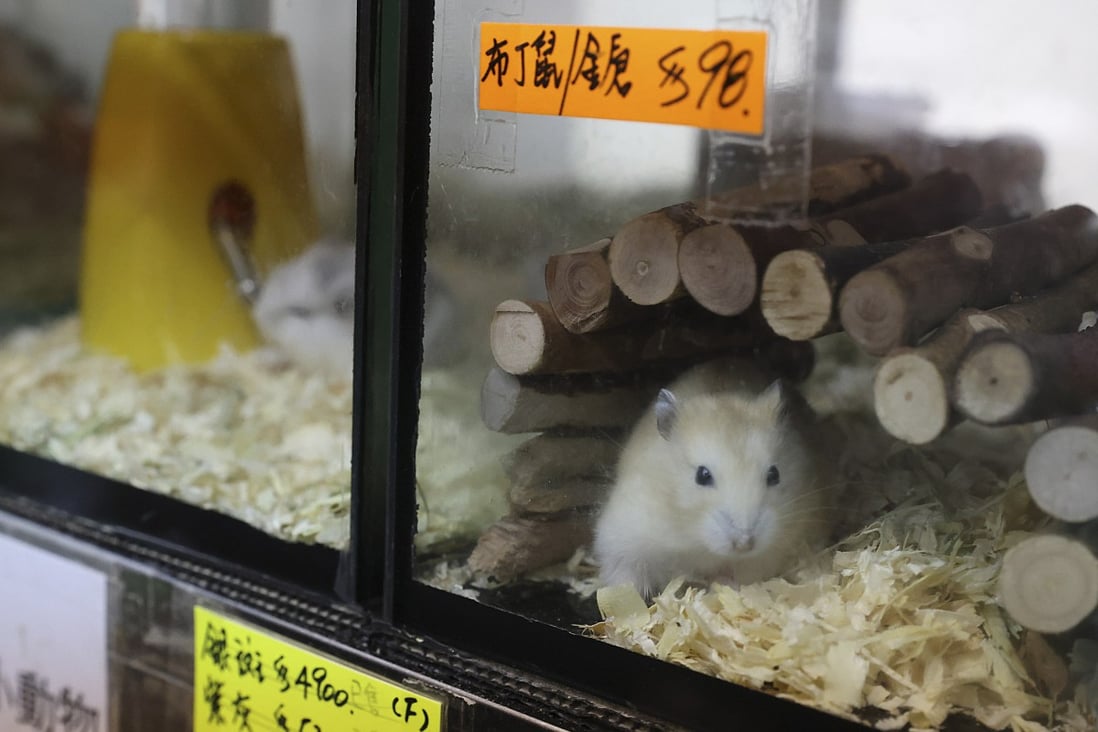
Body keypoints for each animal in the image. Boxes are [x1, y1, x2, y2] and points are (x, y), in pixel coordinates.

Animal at [593, 358, 836, 598]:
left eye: (774, 474)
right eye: (702, 475)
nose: (744, 544)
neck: (698, 543)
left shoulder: (769, 554)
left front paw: (719, 585)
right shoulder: (626, 534)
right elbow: (625, 579)